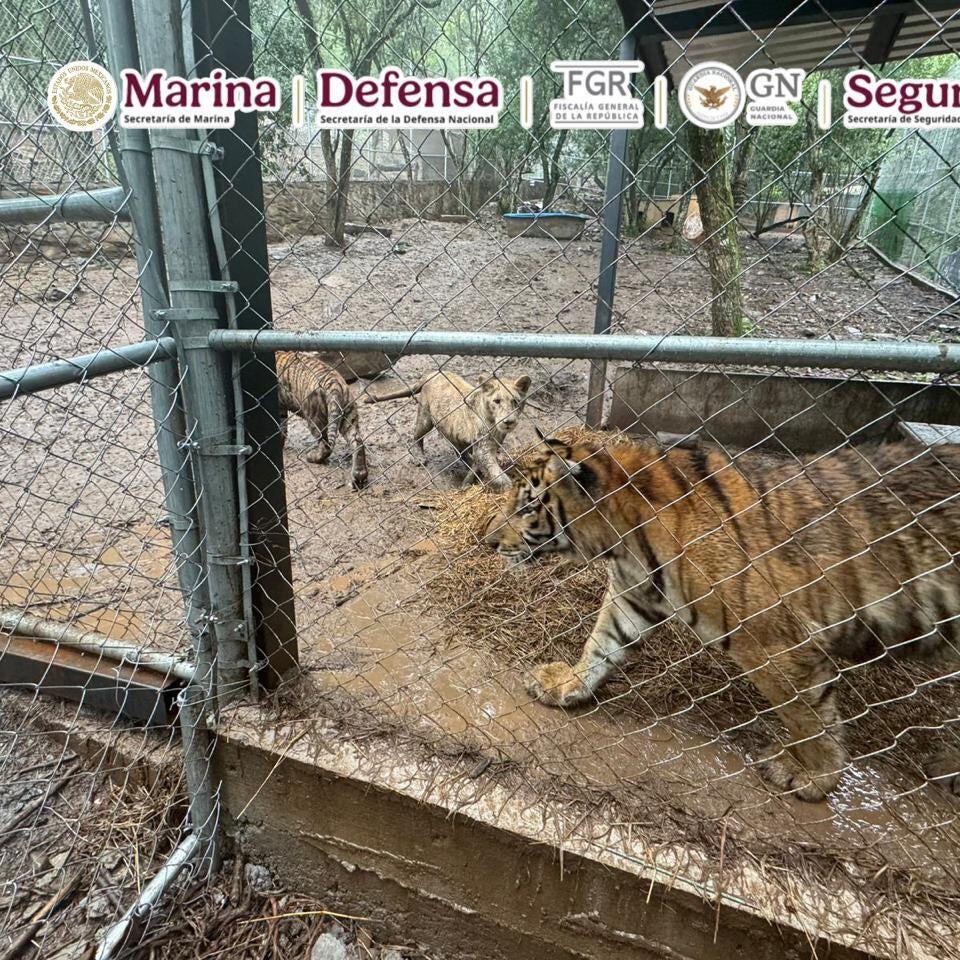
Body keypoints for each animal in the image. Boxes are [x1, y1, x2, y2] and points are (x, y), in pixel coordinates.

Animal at [276, 351, 368, 490]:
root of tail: (335, 384)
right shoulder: (281, 409)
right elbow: (282, 429)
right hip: (348, 416)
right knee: (357, 442)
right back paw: (358, 476)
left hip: (314, 418)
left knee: (325, 446)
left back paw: (312, 457)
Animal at [365, 371, 531, 492]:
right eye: (497, 401)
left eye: (516, 401)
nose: (509, 422)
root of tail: (432, 373)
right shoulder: (483, 448)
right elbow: (496, 473)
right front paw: (508, 488)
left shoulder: (491, 445)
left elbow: (478, 467)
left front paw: (467, 482)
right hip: (425, 418)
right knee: (416, 436)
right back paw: (419, 457)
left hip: (453, 432)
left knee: (460, 452)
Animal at [492, 430, 960, 802]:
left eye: (527, 507)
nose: (489, 541)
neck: (622, 538)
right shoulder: (632, 595)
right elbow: (601, 643)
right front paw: (567, 685)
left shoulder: (776, 643)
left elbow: (806, 715)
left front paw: (813, 777)